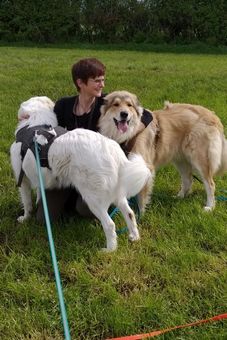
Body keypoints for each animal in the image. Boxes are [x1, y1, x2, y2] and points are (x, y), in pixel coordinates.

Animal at [11, 97, 153, 251]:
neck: (35, 123)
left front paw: (25, 218)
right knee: (130, 214)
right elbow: (38, 194)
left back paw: (109, 249)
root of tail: (113, 151)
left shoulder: (22, 179)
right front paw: (37, 204)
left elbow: (26, 202)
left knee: (110, 224)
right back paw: (134, 236)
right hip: (117, 193)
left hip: (93, 198)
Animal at [98, 90, 227, 212]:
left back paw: (209, 207)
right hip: (181, 160)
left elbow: (141, 196)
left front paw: (140, 214)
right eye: (116, 104)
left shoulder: (145, 168)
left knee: (210, 184)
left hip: (200, 160)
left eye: (129, 105)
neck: (130, 134)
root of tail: (213, 116)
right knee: (188, 180)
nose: (124, 114)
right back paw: (179, 197)